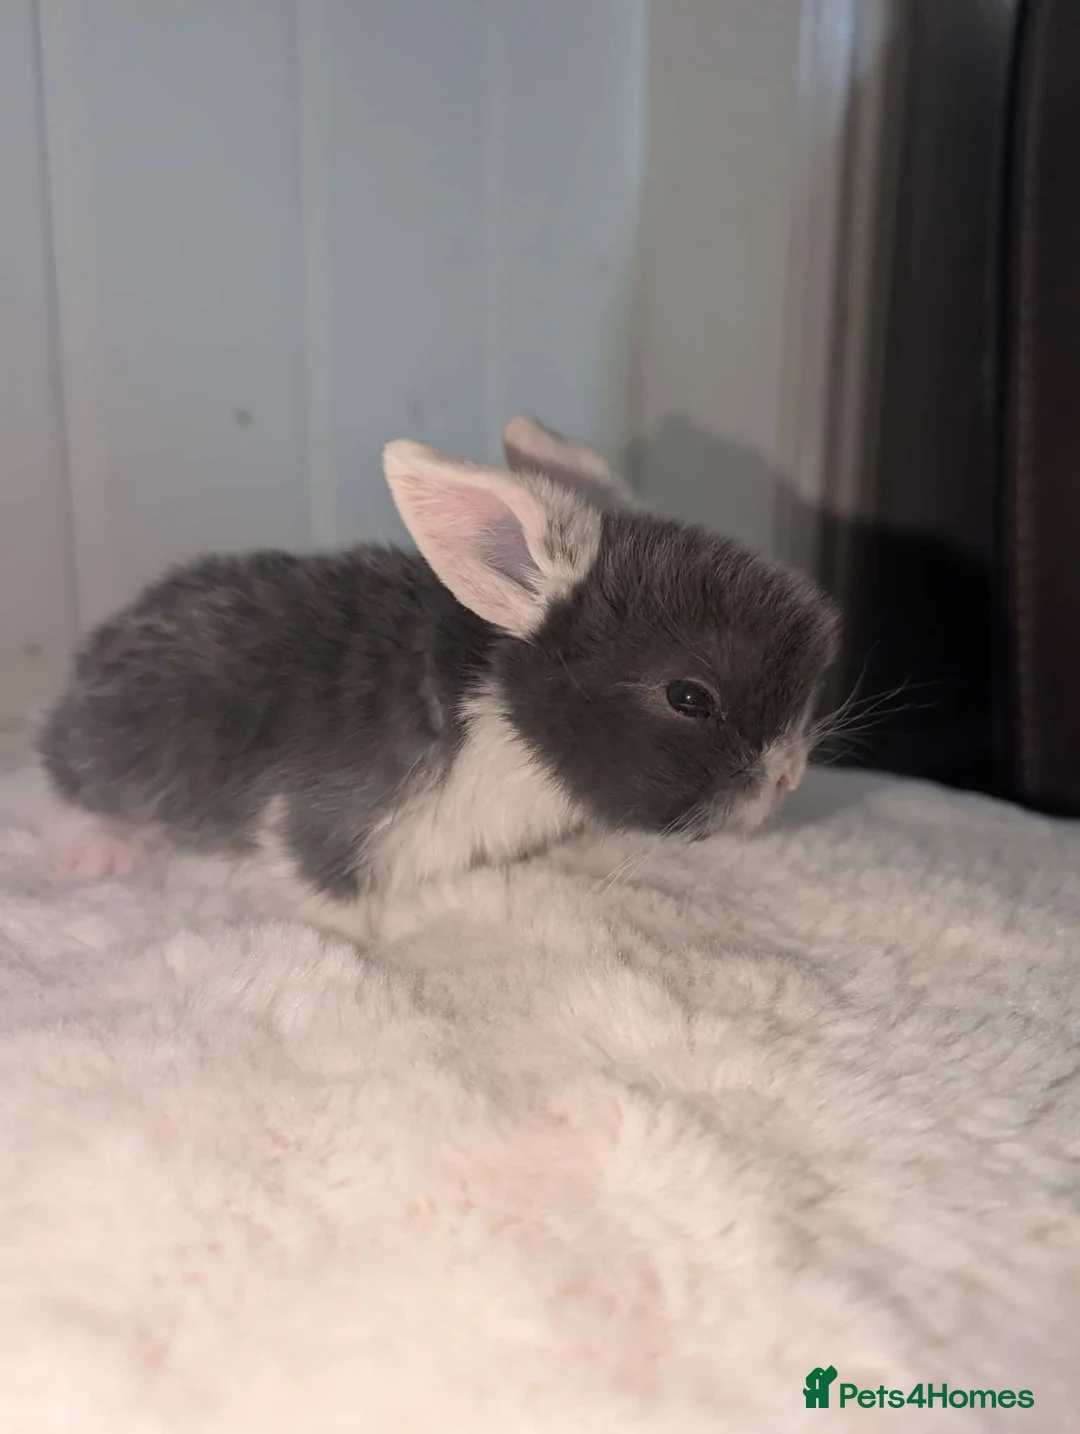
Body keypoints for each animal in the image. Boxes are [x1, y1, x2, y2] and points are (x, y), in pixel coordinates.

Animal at [37, 415, 838, 939]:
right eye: (689, 698)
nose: (789, 776)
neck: (498, 712)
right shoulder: (326, 822)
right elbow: (325, 894)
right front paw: (365, 947)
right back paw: (97, 850)